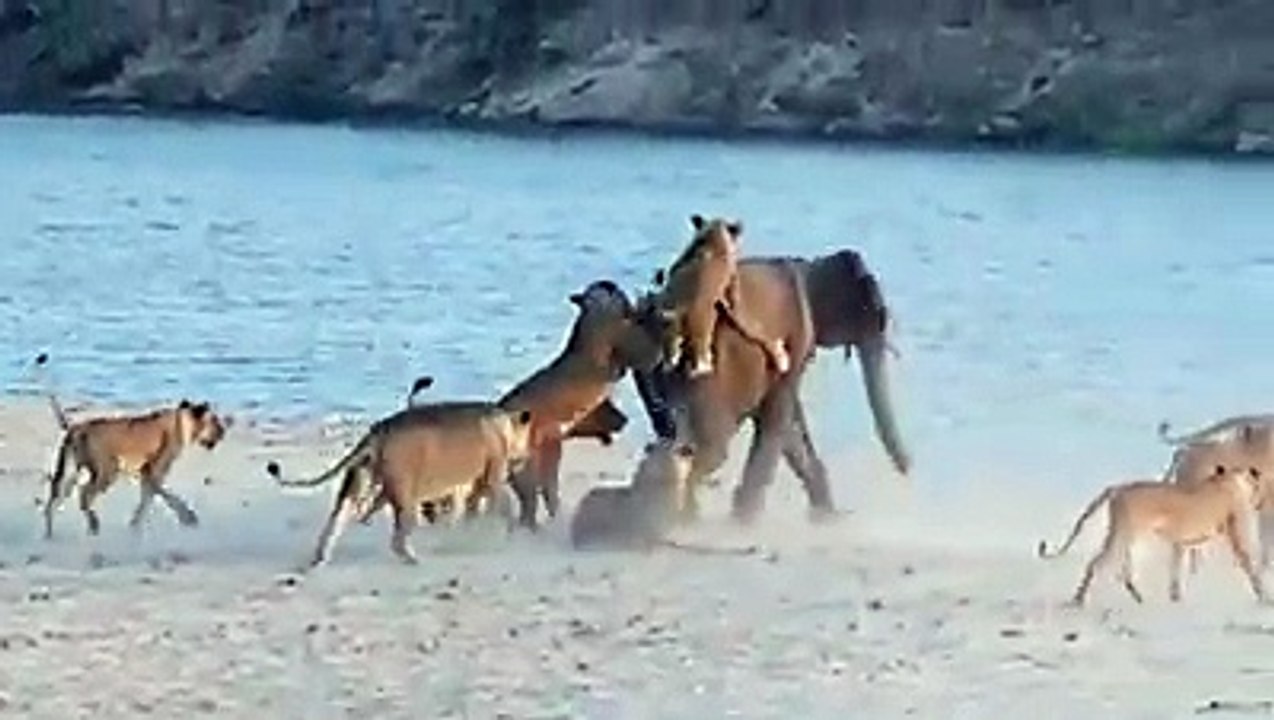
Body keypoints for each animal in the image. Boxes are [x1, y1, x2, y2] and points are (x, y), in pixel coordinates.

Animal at [36, 354, 227, 539]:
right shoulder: (153, 470)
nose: (224, 432)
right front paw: (188, 517)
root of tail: (75, 427)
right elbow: (166, 495)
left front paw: (135, 525)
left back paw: (49, 534)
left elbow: (149, 499)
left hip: (71, 473)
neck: (182, 422)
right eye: (215, 421)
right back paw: (93, 525)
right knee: (84, 494)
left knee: (53, 501)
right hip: (108, 469)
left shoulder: (146, 473)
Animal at [267, 401, 533, 568]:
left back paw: (319, 559)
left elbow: (459, 514)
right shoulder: (493, 477)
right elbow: (505, 506)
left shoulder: (461, 488)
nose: (526, 457)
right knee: (397, 541)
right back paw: (414, 560)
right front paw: (508, 532)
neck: (505, 425)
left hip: (356, 488)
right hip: (406, 499)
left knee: (333, 525)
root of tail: (377, 432)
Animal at [651, 215, 790, 379]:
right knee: (699, 357)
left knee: (671, 355)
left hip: (672, 331)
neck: (712, 240)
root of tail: (682, 313)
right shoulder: (731, 276)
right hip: (701, 331)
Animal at [1038, 465, 1267, 607]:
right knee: (1097, 564)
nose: (1259, 500)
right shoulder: (1233, 534)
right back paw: (1078, 600)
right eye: (1255, 481)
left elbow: (1175, 571)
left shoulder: (1180, 542)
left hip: (1125, 536)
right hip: (1124, 535)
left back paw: (1136, 595)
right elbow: (1248, 565)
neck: (1229, 482)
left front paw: (1175, 598)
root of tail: (1117, 488)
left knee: (1122, 569)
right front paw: (1263, 596)